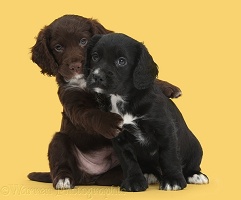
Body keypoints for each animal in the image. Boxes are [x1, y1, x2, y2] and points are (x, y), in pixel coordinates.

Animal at [27, 14, 183, 189]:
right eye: (58, 47)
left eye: (83, 41)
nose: (75, 66)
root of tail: (90, 176)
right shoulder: (73, 102)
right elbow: (90, 114)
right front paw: (112, 122)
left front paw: (168, 87)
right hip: (59, 140)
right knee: (61, 159)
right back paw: (63, 179)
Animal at [84, 33, 209, 192]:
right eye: (95, 56)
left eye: (122, 61)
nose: (96, 76)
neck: (123, 99)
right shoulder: (118, 136)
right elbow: (128, 161)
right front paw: (134, 181)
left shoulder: (165, 130)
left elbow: (169, 156)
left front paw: (173, 180)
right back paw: (149, 174)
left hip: (196, 147)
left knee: (191, 164)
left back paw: (194, 175)